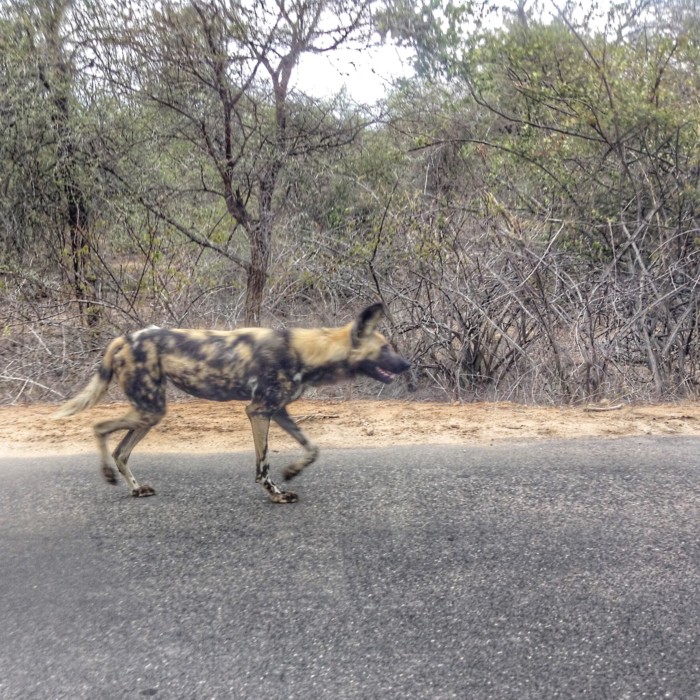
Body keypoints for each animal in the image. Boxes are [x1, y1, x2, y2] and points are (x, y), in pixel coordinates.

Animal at [52, 304, 410, 500]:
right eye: (384, 348)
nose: (406, 365)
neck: (306, 352)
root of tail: (125, 338)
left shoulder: (278, 411)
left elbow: (312, 448)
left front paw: (292, 472)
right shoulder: (258, 411)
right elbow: (262, 465)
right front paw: (276, 495)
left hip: (150, 412)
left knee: (121, 450)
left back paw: (135, 489)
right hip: (150, 408)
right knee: (99, 425)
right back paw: (109, 475)